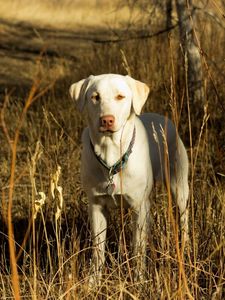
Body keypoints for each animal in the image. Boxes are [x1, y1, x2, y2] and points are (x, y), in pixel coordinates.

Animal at [69, 73, 189, 284]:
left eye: (120, 96)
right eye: (95, 97)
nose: (107, 120)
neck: (110, 156)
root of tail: (164, 119)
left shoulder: (139, 206)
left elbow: (137, 249)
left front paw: (138, 280)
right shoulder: (96, 206)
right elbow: (98, 249)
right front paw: (93, 280)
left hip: (179, 185)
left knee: (184, 216)